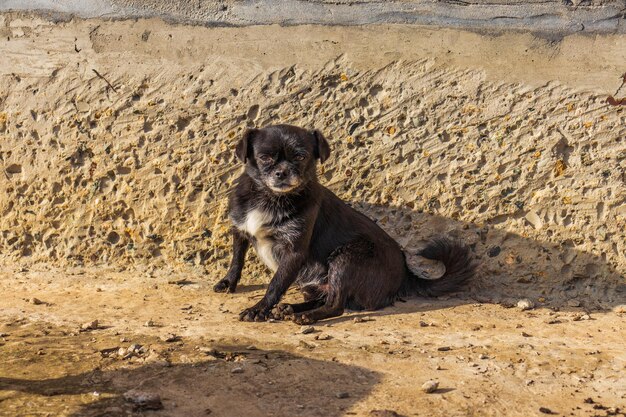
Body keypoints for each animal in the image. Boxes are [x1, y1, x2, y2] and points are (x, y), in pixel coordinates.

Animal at [211, 123, 472, 322]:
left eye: (300, 157)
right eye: (265, 158)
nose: (282, 172)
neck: (269, 198)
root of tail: (406, 274)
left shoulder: (293, 253)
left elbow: (275, 285)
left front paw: (258, 309)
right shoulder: (240, 230)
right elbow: (237, 260)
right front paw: (228, 282)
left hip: (346, 258)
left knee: (335, 304)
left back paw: (306, 316)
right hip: (312, 281)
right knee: (326, 297)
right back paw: (290, 309)